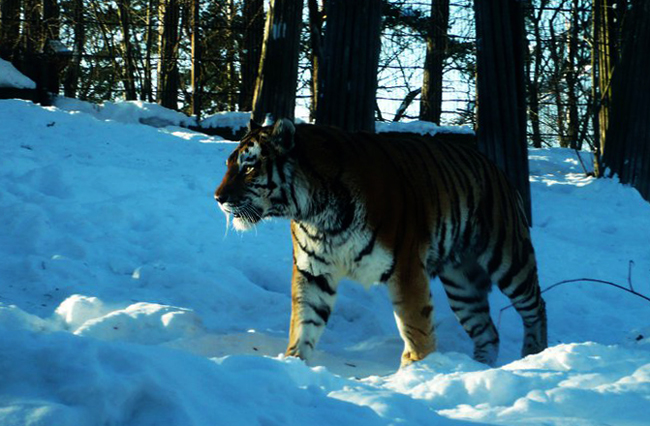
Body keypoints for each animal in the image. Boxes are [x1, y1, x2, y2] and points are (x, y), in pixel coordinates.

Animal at [215, 118, 544, 368]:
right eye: (229, 164)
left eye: (248, 167)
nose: (218, 197)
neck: (315, 213)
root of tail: (496, 168)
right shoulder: (313, 270)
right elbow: (304, 322)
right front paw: (293, 363)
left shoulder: (406, 268)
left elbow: (414, 325)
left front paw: (415, 370)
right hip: (461, 282)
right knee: (488, 332)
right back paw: (478, 368)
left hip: (509, 259)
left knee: (536, 306)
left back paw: (534, 355)